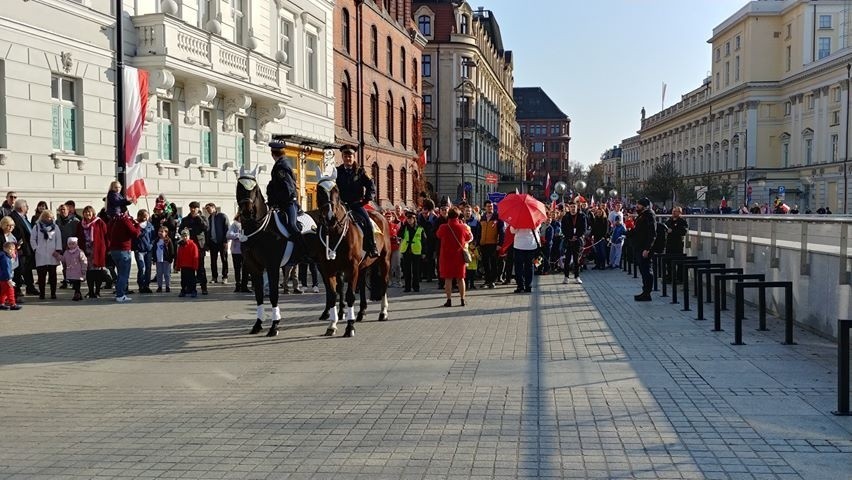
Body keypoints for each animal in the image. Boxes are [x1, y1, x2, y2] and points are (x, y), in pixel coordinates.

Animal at [236, 168, 290, 338]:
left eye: (254, 189)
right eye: (240, 187)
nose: (247, 211)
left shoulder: (272, 266)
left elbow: (273, 294)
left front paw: (274, 325)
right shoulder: (254, 267)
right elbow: (259, 295)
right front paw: (258, 324)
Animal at [308, 172, 392, 338]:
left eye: (336, 191)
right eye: (320, 191)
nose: (330, 217)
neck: (335, 232)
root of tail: (381, 216)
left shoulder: (351, 267)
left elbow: (350, 296)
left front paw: (349, 327)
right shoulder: (328, 269)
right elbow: (333, 296)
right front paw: (332, 325)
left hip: (384, 260)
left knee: (384, 283)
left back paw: (383, 312)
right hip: (364, 265)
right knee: (362, 284)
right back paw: (361, 312)